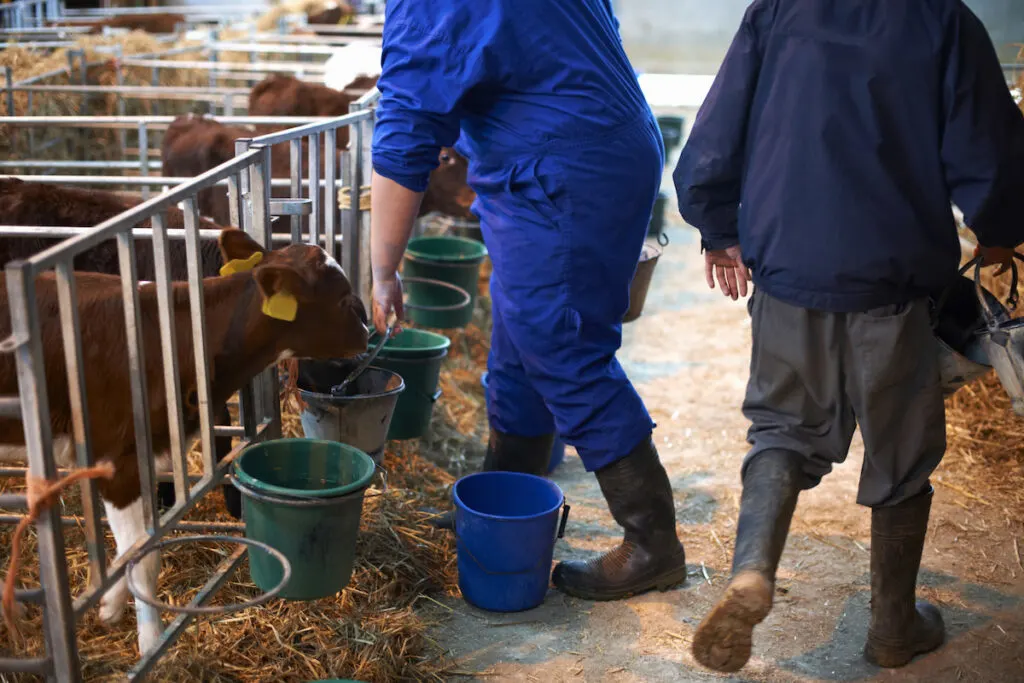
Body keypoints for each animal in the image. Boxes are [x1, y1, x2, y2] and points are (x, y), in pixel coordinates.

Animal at [0, 229, 366, 655]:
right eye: (341, 297)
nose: (368, 330)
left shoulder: (148, 459)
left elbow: (141, 547)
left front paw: (108, 603)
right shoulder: (116, 461)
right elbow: (140, 555)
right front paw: (151, 640)